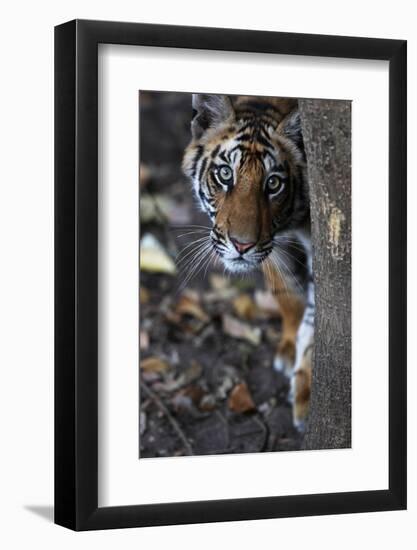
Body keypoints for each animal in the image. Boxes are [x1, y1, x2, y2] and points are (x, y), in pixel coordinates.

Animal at [182, 92, 312, 434]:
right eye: (226, 174)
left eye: (274, 183)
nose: (241, 245)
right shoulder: (275, 248)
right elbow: (288, 296)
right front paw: (289, 348)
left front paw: (306, 395)